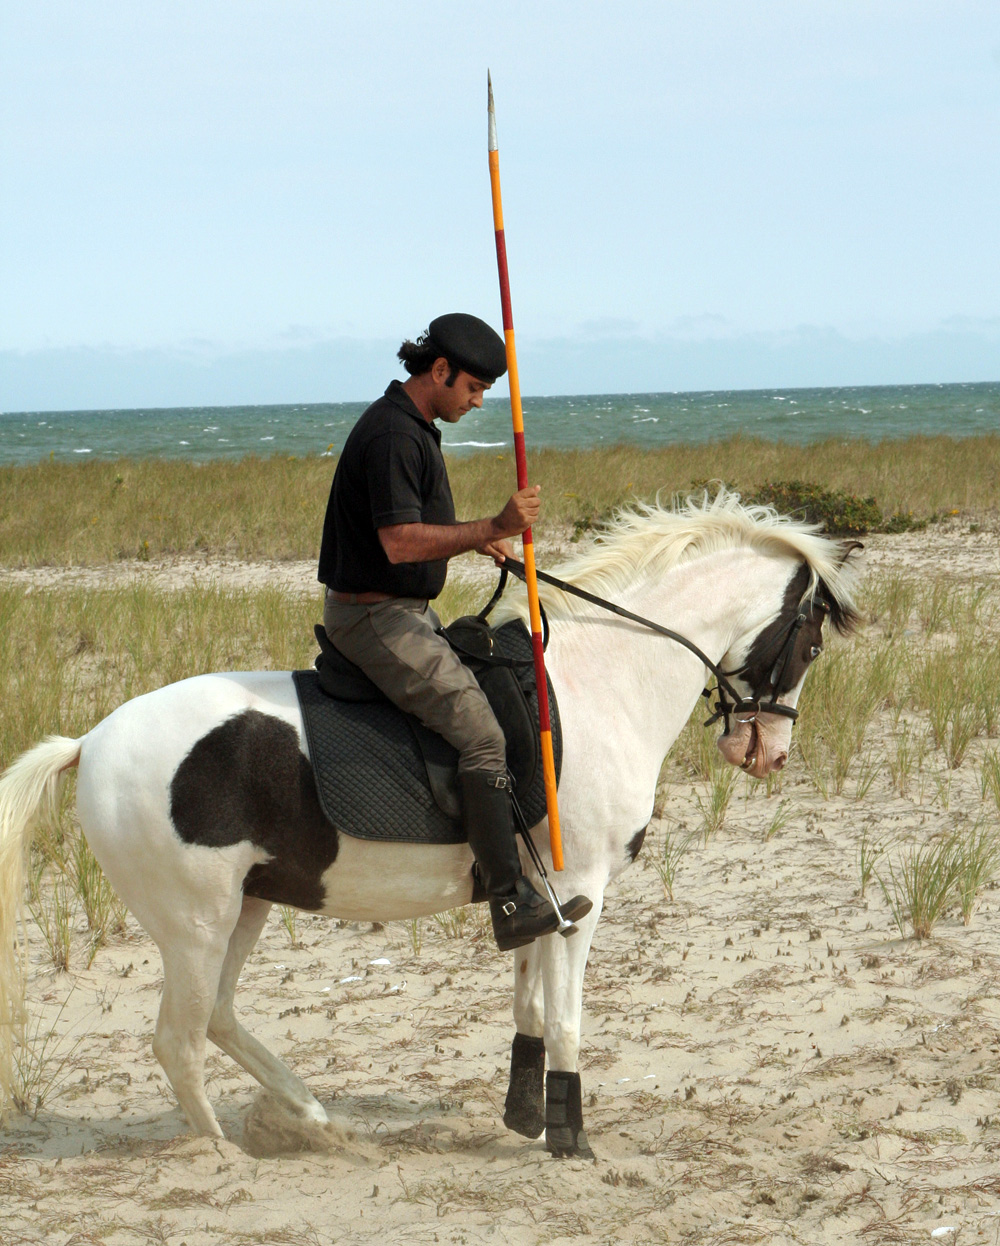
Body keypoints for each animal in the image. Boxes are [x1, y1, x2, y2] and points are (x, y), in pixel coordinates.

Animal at [0, 488, 860, 1157]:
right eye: (811, 644)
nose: (768, 752)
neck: (602, 679)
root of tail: (91, 742)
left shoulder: (538, 894)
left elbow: (529, 1007)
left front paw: (525, 1115)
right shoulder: (580, 889)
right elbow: (568, 1021)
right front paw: (571, 1137)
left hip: (242, 907)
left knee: (215, 1017)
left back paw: (315, 1120)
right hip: (195, 921)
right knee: (178, 1041)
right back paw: (225, 1156)